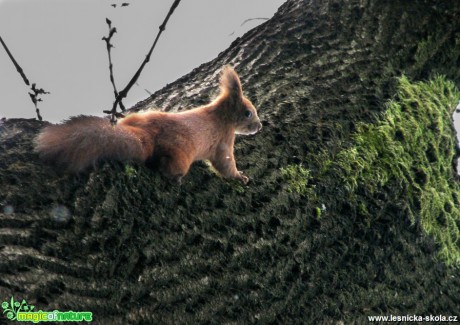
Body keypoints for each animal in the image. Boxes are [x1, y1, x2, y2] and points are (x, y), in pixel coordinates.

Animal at [34, 66, 260, 182]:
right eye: (248, 113)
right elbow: (225, 162)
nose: (259, 126)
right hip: (181, 153)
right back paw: (172, 175)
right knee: (170, 165)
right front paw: (239, 177)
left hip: (138, 117)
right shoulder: (224, 140)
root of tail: (148, 135)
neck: (220, 116)